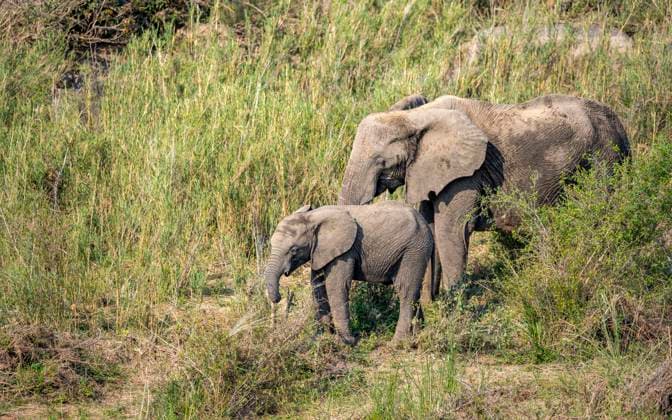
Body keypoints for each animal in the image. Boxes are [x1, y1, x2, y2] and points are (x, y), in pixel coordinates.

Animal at [264, 201, 433, 345]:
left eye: (294, 250)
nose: (278, 298)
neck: (312, 217)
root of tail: (425, 223)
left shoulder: (344, 251)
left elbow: (336, 286)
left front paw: (346, 341)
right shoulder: (320, 251)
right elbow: (317, 285)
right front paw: (324, 337)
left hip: (414, 250)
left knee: (405, 291)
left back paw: (397, 343)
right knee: (414, 292)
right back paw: (419, 334)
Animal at [338, 94, 630, 301]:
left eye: (381, 161)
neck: (415, 118)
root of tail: (620, 125)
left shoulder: (467, 174)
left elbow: (451, 231)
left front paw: (451, 315)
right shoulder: (431, 171)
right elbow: (430, 228)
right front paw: (428, 309)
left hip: (603, 158)